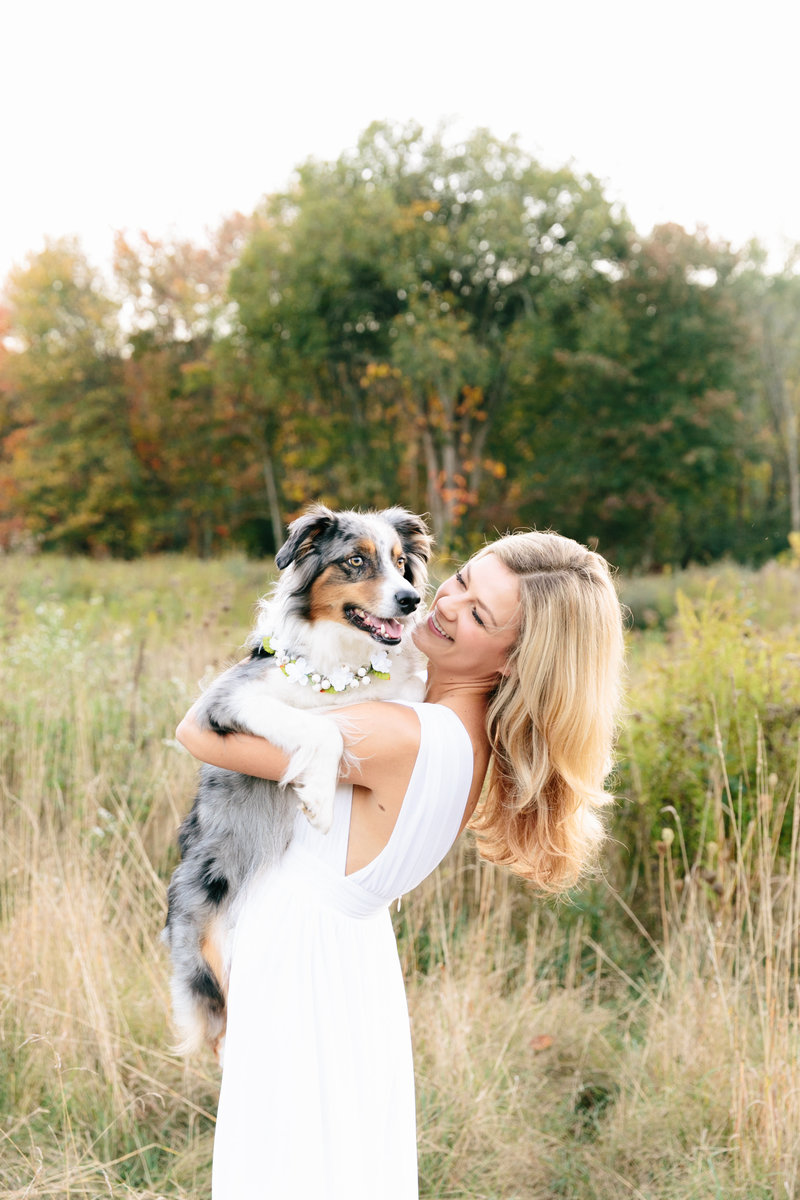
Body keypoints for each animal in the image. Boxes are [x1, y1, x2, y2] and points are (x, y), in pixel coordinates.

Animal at [160, 501, 431, 1056]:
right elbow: (319, 728)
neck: (342, 655)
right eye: (355, 561)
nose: (410, 600)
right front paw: (319, 802)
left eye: (400, 562)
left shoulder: (396, 700)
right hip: (205, 956)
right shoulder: (229, 699)